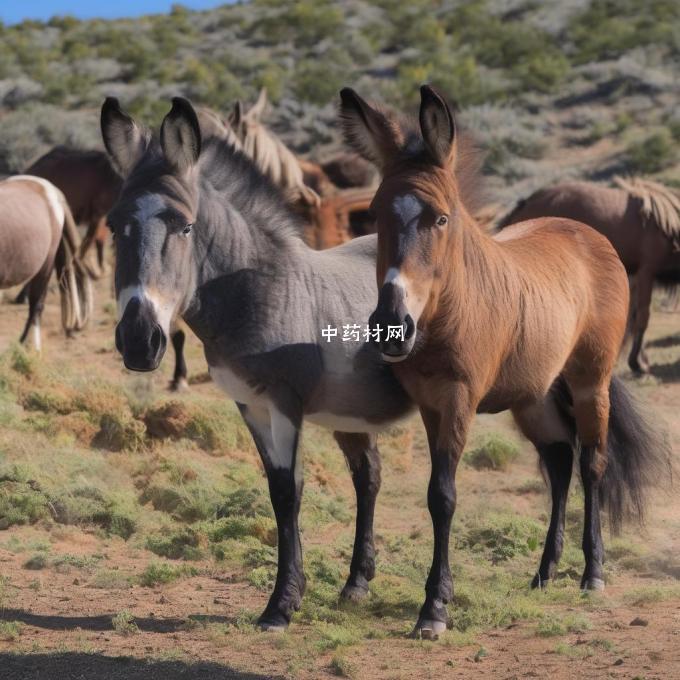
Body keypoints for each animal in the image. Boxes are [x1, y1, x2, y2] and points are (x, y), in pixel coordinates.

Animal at [496, 178, 680, 374]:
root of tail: (526, 202)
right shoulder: (646, 271)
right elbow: (641, 318)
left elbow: (633, 316)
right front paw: (638, 363)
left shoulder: (636, 275)